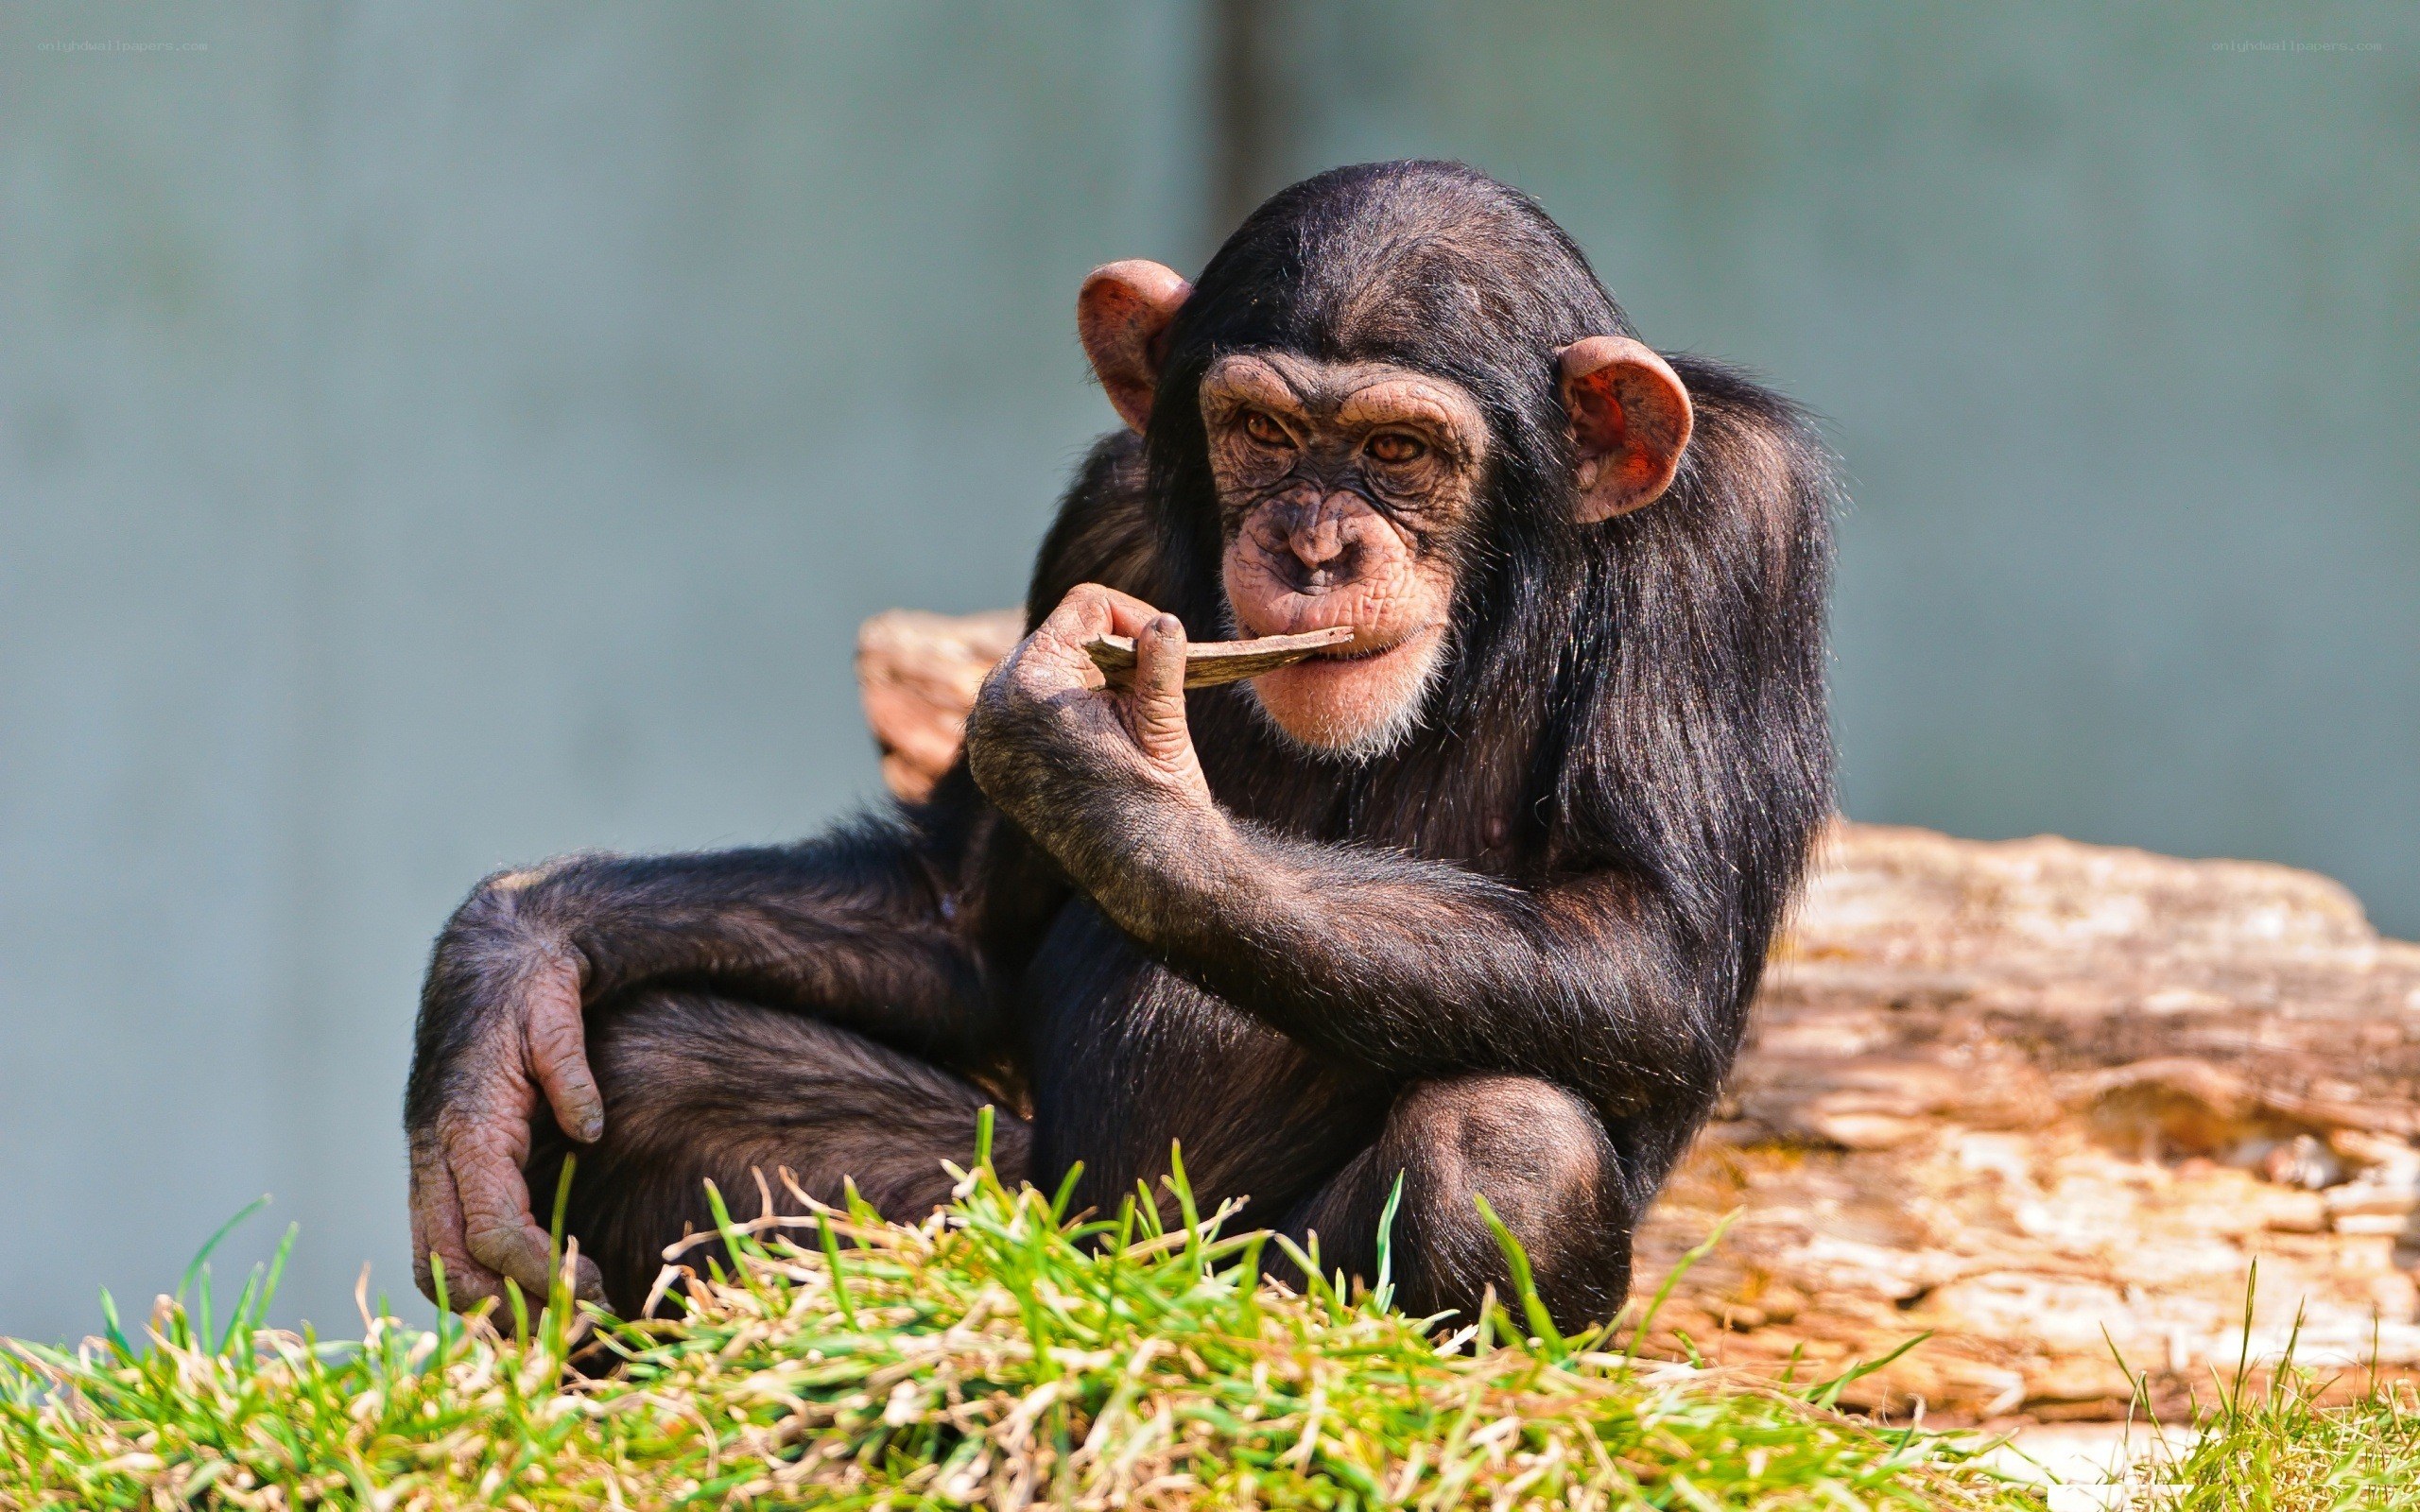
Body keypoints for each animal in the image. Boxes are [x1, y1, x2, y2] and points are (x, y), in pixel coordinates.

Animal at [405, 161, 1835, 1332]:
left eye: (1398, 448)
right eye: (1262, 431)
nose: (1314, 547)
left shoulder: (1736, 535)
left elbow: (1641, 938)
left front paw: (1108, 782)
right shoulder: (1100, 523)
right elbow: (960, 912)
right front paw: (509, 959)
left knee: (1508, 1142)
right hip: (1028, 1212)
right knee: (652, 1069)